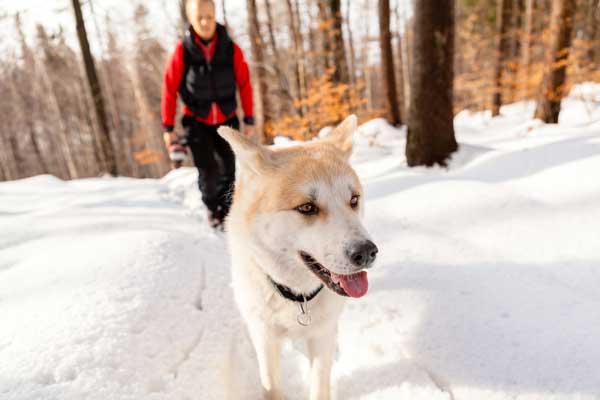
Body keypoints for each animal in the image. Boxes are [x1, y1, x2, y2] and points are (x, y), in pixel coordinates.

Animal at [218, 115, 378, 400]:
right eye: (307, 207)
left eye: (353, 200)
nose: (367, 252)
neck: (296, 296)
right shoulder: (265, 338)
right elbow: (271, 386)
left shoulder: (322, 336)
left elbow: (319, 387)